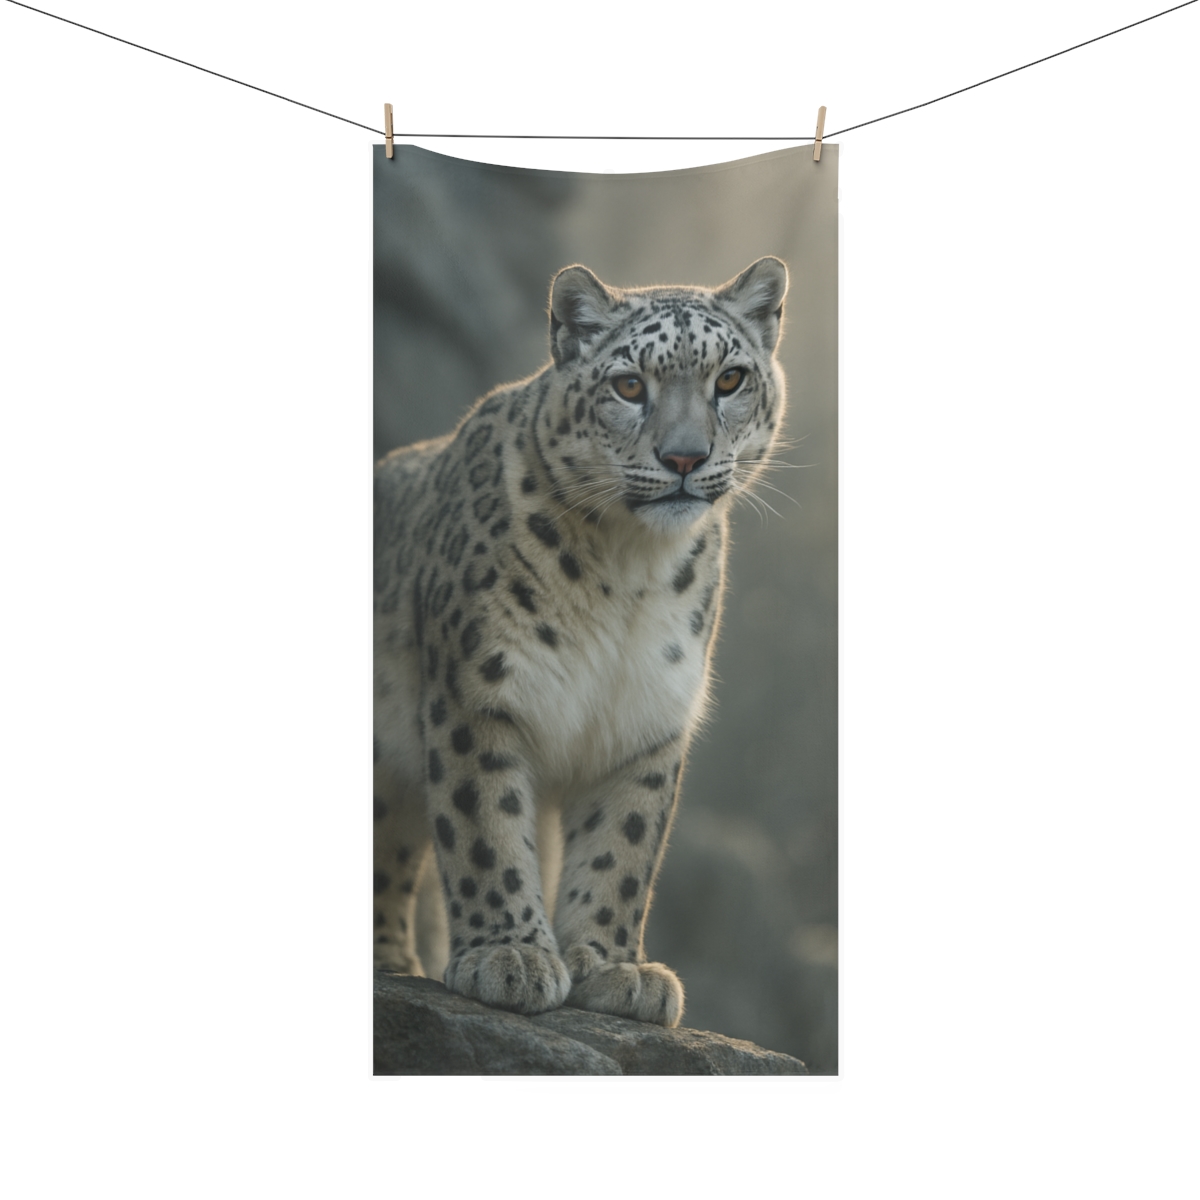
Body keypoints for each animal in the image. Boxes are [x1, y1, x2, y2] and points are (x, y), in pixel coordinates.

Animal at [373, 255, 789, 1027]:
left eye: (729, 379)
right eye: (629, 385)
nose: (684, 457)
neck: (628, 573)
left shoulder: (647, 720)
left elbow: (621, 849)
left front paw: (612, 966)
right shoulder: (479, 693)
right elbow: (486, 827)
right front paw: (509, 954)